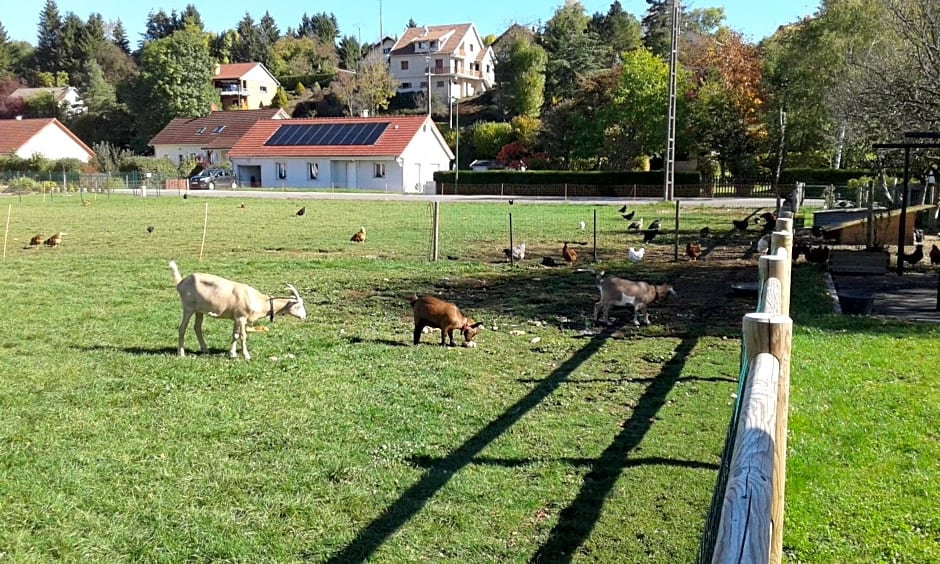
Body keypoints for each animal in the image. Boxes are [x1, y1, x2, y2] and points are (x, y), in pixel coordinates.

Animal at [165, 262, 304, 360]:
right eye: (298, 305)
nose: (304, 317)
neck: (258, 300)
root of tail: (180, 283)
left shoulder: (236, 318)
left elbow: (235, 335)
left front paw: (232, 354)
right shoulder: (241, 318)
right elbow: (243, 336)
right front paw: (246, 356)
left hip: (199, 310)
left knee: (197, 327)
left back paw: (205, 349)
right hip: (188, 308)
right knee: (182, 328)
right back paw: (181, 353)